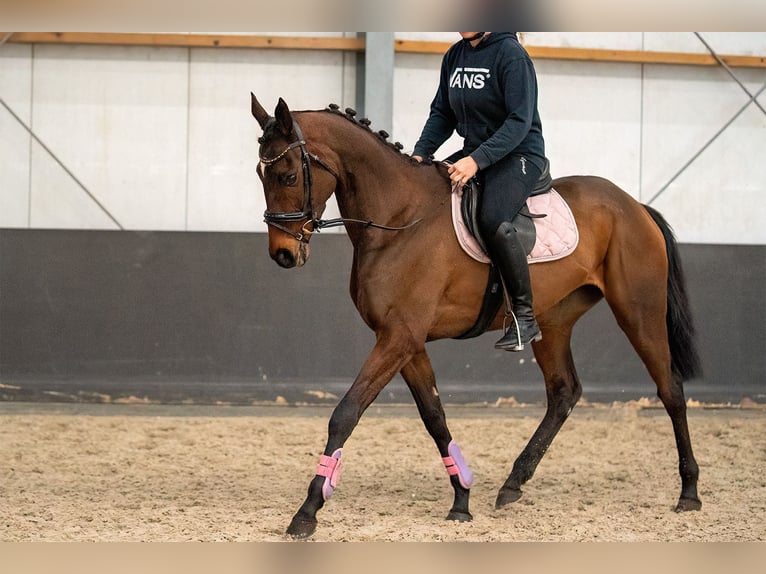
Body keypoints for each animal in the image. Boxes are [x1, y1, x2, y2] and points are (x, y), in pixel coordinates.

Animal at [250, 93, 703, 539]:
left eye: (288, 176)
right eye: (260, 173)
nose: (282, 254)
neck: (400, 218)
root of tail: (634, 205)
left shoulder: (398, 338)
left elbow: (345, 413)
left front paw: (307, 511)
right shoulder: (406, 342)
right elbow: (435, 418)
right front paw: (461, 499)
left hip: (639, 312)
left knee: (670, 389)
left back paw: (689, 492)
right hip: (554, 320)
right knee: (563, 393)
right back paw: (513, 483)